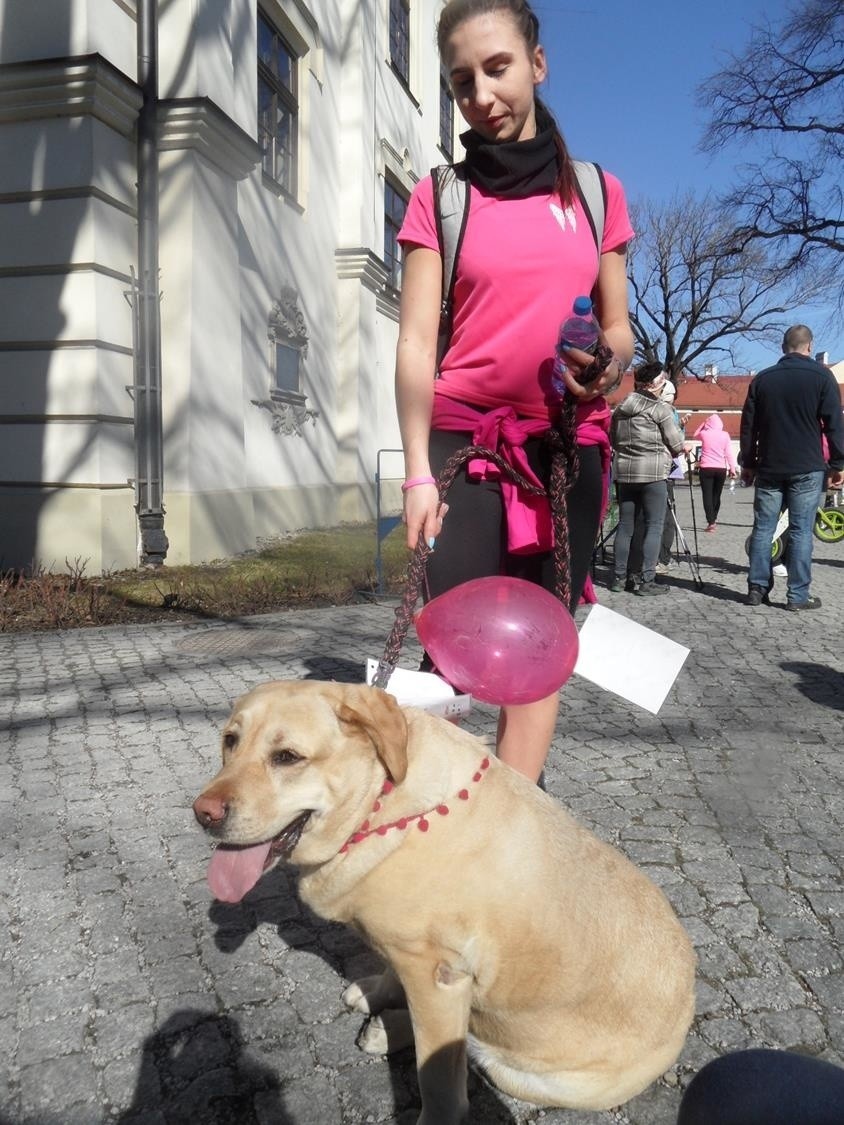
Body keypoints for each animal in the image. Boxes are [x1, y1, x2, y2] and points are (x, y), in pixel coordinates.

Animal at [194, 679, 697, 1120]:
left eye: (287, 757)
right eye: (230, 741)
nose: (203, 814)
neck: (380, 803)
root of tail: (688, 1007)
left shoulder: (439, 977)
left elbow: (438, 1077)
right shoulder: (411, 954)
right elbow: (392, 972)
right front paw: (378, 991)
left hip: (530, 1073)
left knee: (473, 1050)